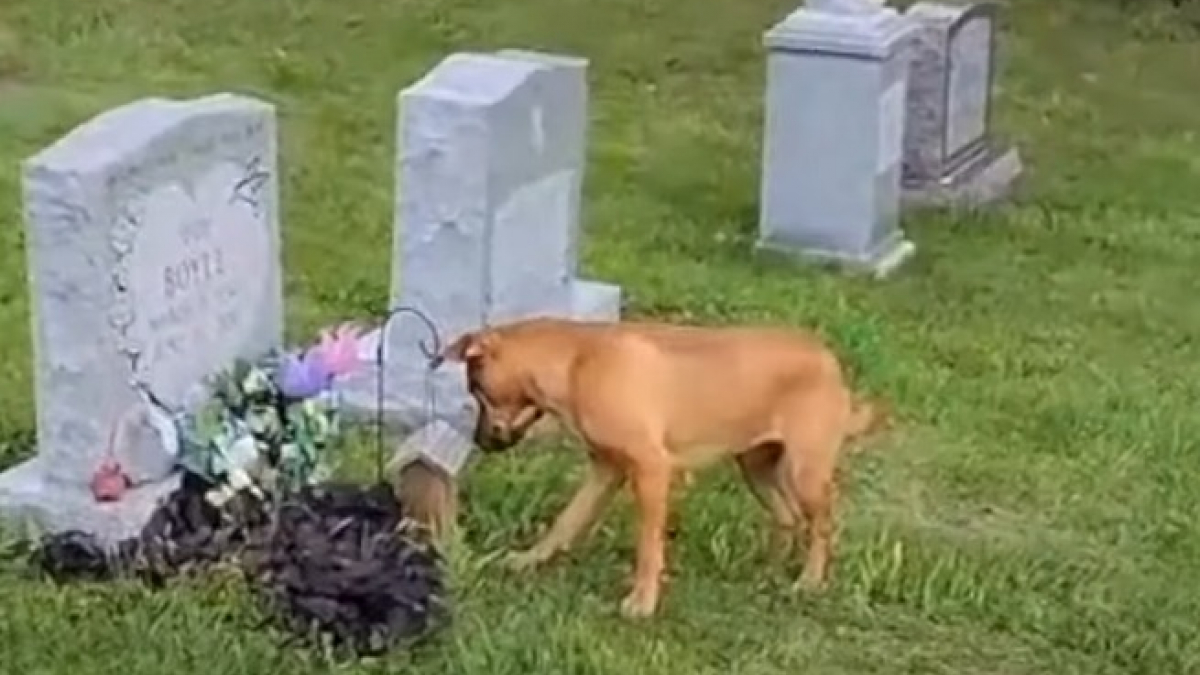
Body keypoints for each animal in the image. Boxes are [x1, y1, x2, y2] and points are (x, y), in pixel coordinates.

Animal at [434, 314, 883, 614]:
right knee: (787, 516)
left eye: (476, 388)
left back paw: (809, 581)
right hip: (756, 467)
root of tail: (829, 361)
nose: (478, 441)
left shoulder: (651, 470)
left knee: (822, 525)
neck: (578, 361)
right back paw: (770, 572)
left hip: (805, 472)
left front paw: (642, 601)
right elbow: (566, 521)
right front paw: (530, 560)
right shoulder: (605, 470)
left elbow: (648, 545)